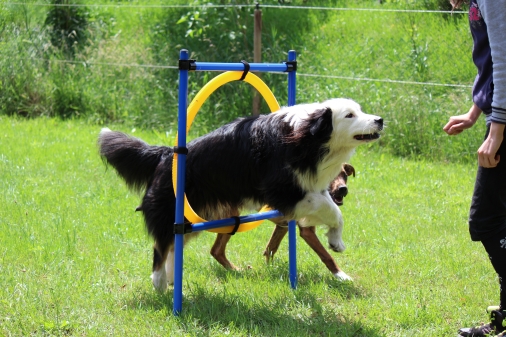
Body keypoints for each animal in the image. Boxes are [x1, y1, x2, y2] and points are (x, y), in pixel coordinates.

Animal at [100, 98, 384, 290]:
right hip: (174, 210)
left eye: (360, 111)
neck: (307, 136)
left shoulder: (309, 187)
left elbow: (333, 213)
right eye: (349, 115)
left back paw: (170, 279)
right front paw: (335, 242)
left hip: (193, 216)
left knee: (171, 244)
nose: (380, 120)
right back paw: (159, 282)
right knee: (160, 245)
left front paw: (336, 241)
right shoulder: (283, 191)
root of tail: (165, 154)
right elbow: (330, 209)